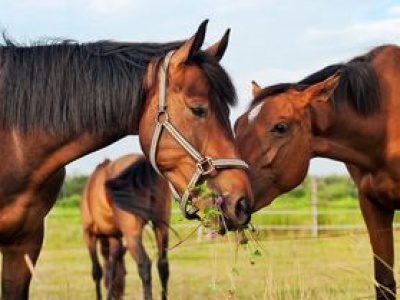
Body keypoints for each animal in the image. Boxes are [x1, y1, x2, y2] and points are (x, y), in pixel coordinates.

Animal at [80, 155, 170, 300]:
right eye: (126, 272)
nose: (119, 294)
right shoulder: (115, 236)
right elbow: (112, 268)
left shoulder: (89, 234)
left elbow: (97, 271)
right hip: (161, 226)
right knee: (162, 265)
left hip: (132, 234)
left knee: (144, 265)